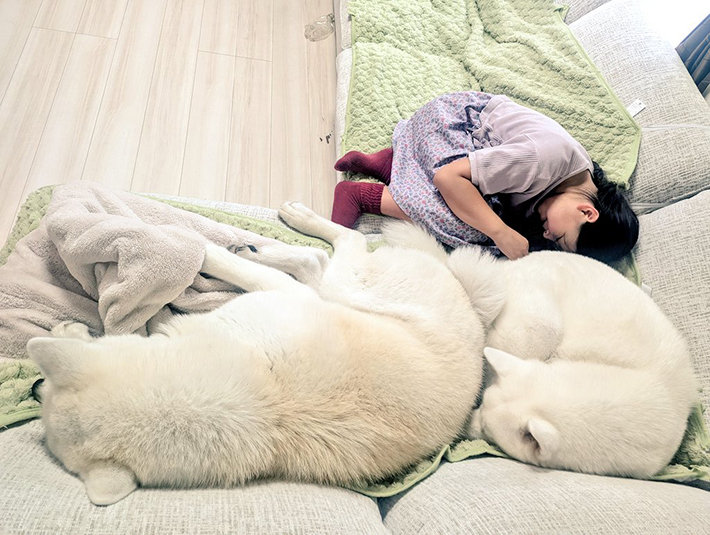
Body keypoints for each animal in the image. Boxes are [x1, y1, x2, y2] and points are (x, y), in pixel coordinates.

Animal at [27, 202, 504, 506]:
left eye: (46, 390)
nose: (31, 388)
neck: (267, 400)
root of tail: (471, 303)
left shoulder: (280, 301)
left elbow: (222, 263)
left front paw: (196, 248)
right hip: (336, 291)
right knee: (316, 261)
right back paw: (271, 242)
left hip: (348, 286)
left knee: (343, 243)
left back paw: (291, 224)